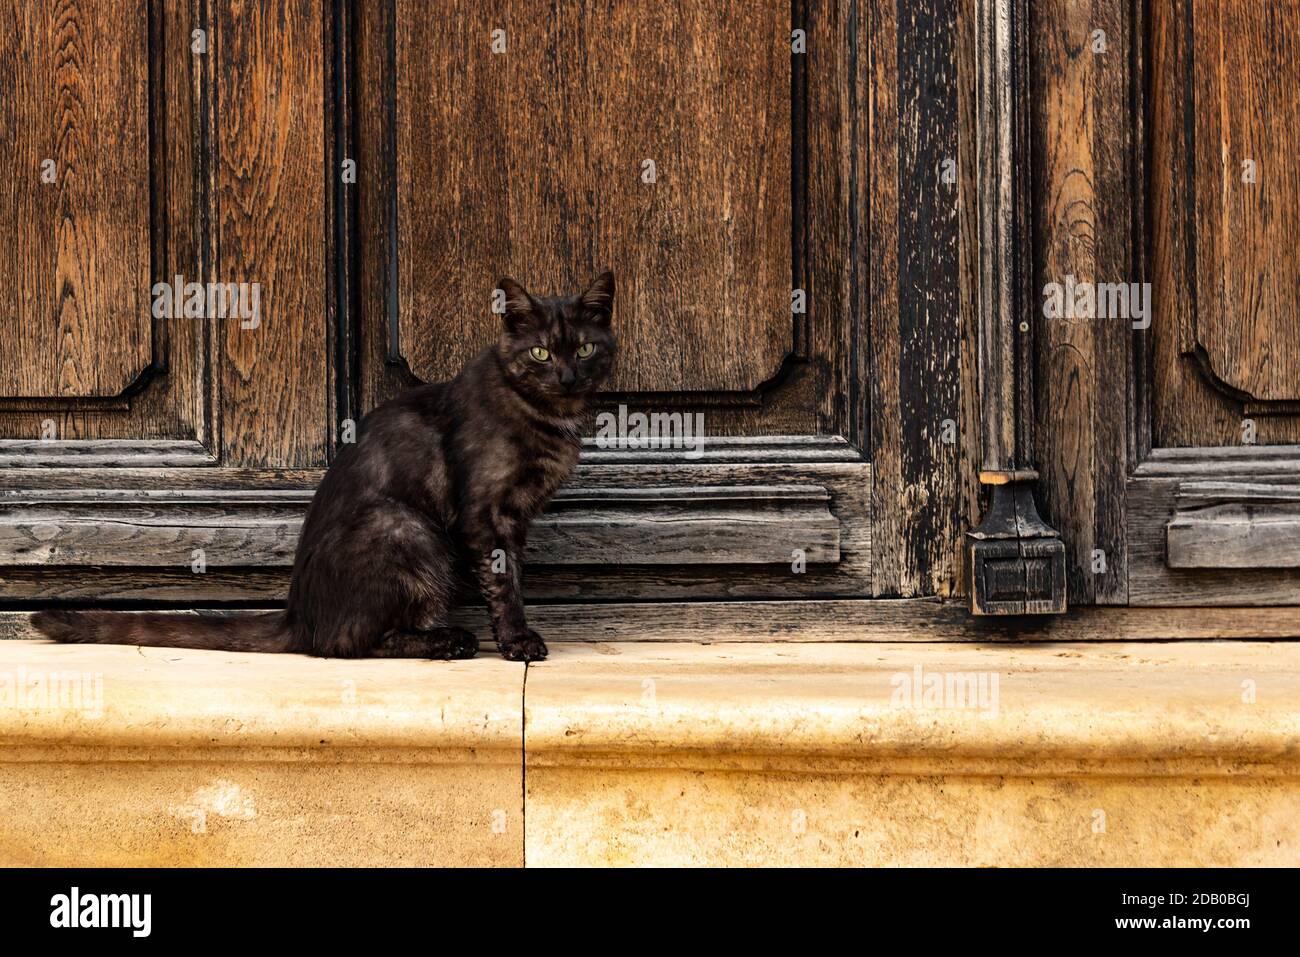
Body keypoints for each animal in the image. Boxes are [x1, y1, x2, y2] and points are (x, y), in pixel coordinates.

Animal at [32, 269, 616, 657]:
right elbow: (503, 580)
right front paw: (518, 641)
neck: (548, 414)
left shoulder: (514, 517)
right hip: (407, 528)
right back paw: (447, 640)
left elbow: (513, 572)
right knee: (347, 642)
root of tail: (298, 616)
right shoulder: (486, 513)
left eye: (585, 350)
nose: (567, 376)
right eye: (541, 353)